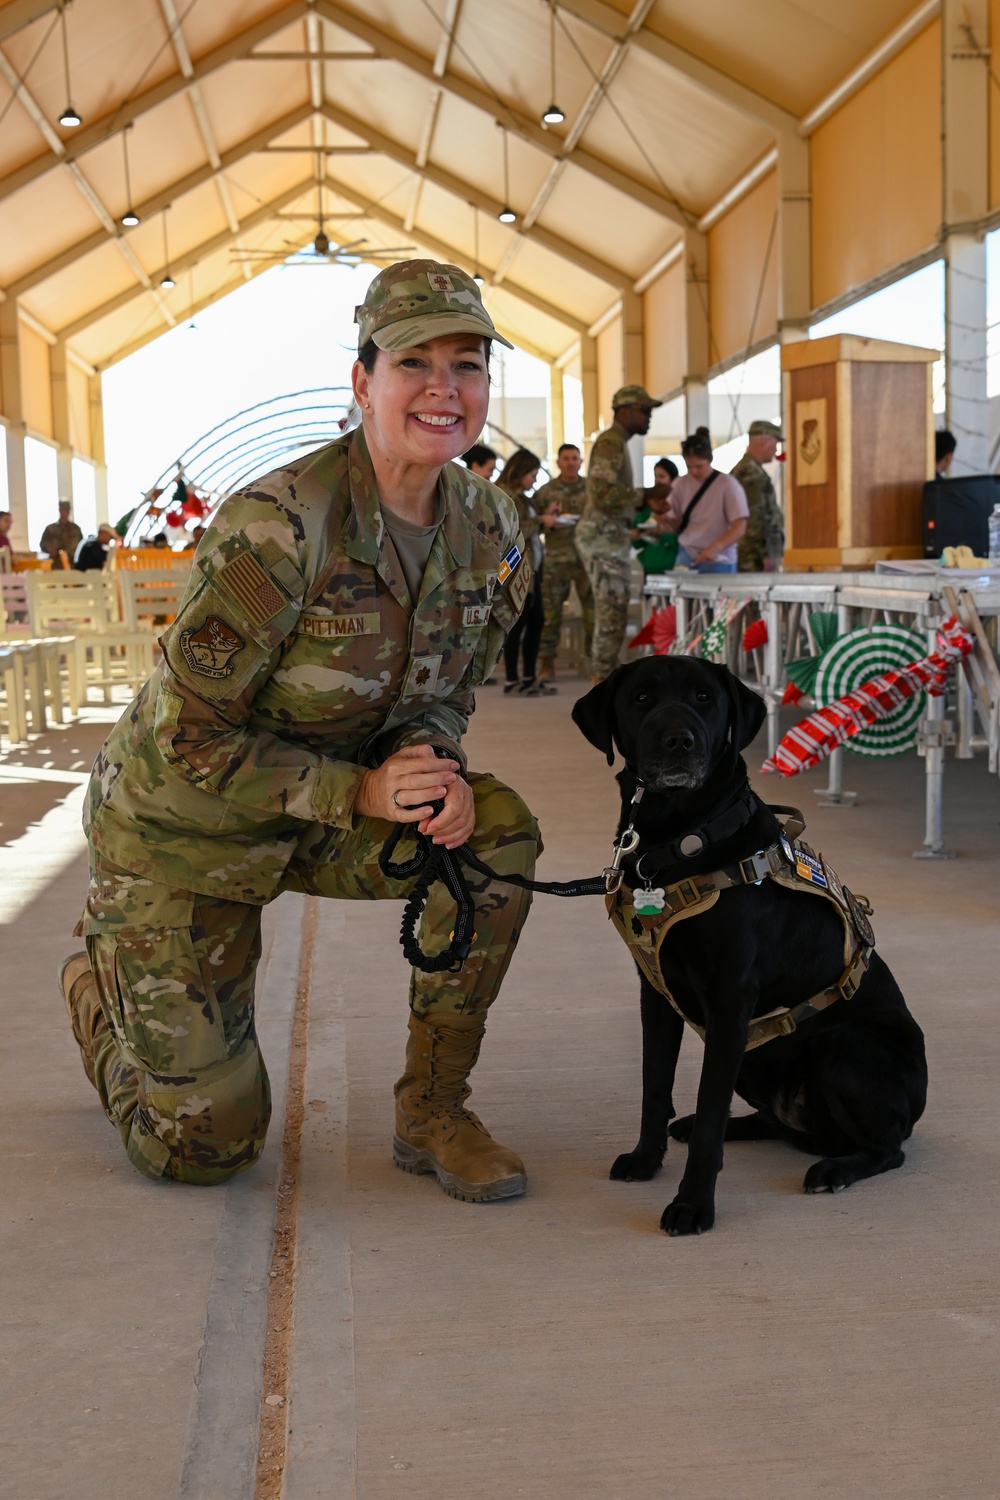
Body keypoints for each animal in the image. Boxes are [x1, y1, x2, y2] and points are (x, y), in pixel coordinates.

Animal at [575, 663, 929, 1236]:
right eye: (641, 698)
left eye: (704, 697)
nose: (680, 741)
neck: (679, 838)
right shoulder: (657, 994)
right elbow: (656, 1086)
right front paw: (647, 1159)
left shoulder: (729, 1000)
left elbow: (707, 1108)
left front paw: (693, 1205)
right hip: (754, 1050)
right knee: (772, 1122)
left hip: (841, 1046)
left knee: (888, 1148)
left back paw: (835, 1169)